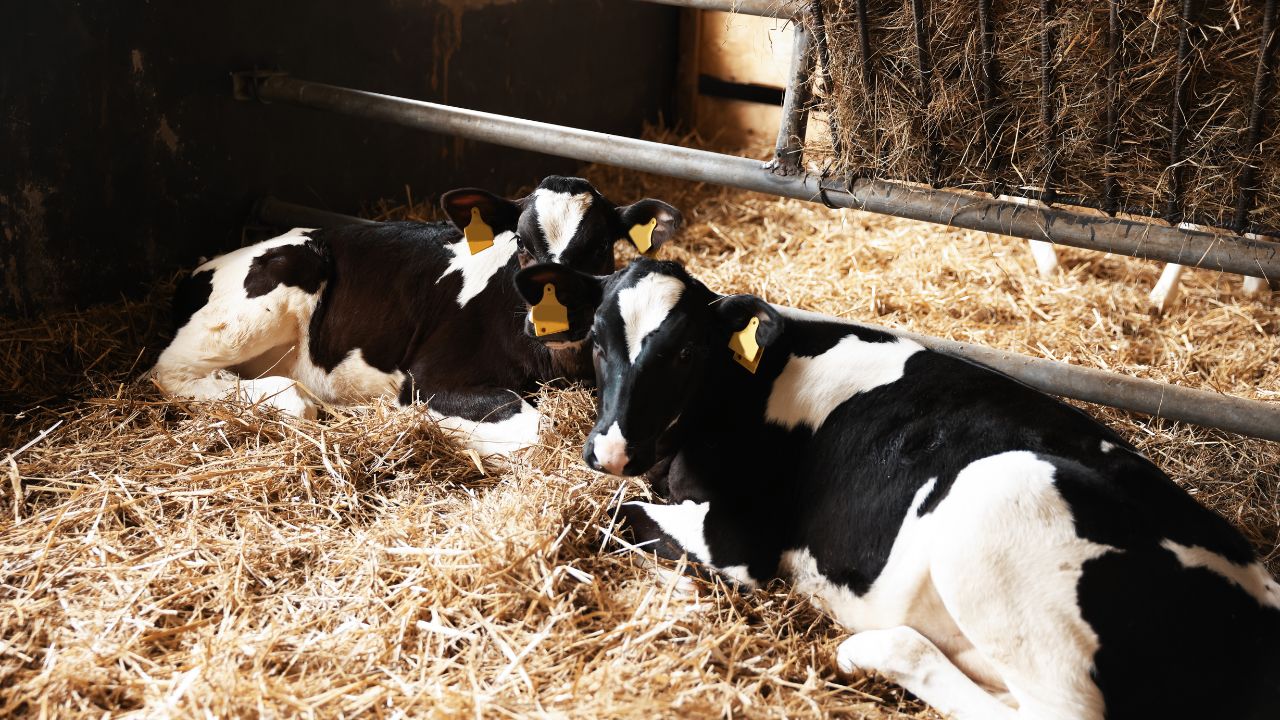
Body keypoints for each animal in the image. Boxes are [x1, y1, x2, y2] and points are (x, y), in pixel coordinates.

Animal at [151, 176, 681, 456]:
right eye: (522, 244)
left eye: (598, 247)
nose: (553, 321)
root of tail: (202, 267)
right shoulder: (428, 378)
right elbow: (537, 428)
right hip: (278, 283)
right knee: (171, 370)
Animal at [514, 257, 1280, 720]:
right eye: (598, 342)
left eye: (684, 351)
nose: (611, 448)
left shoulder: (737, 540)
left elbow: (619, 516)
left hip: (999, 491)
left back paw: (873, 651)